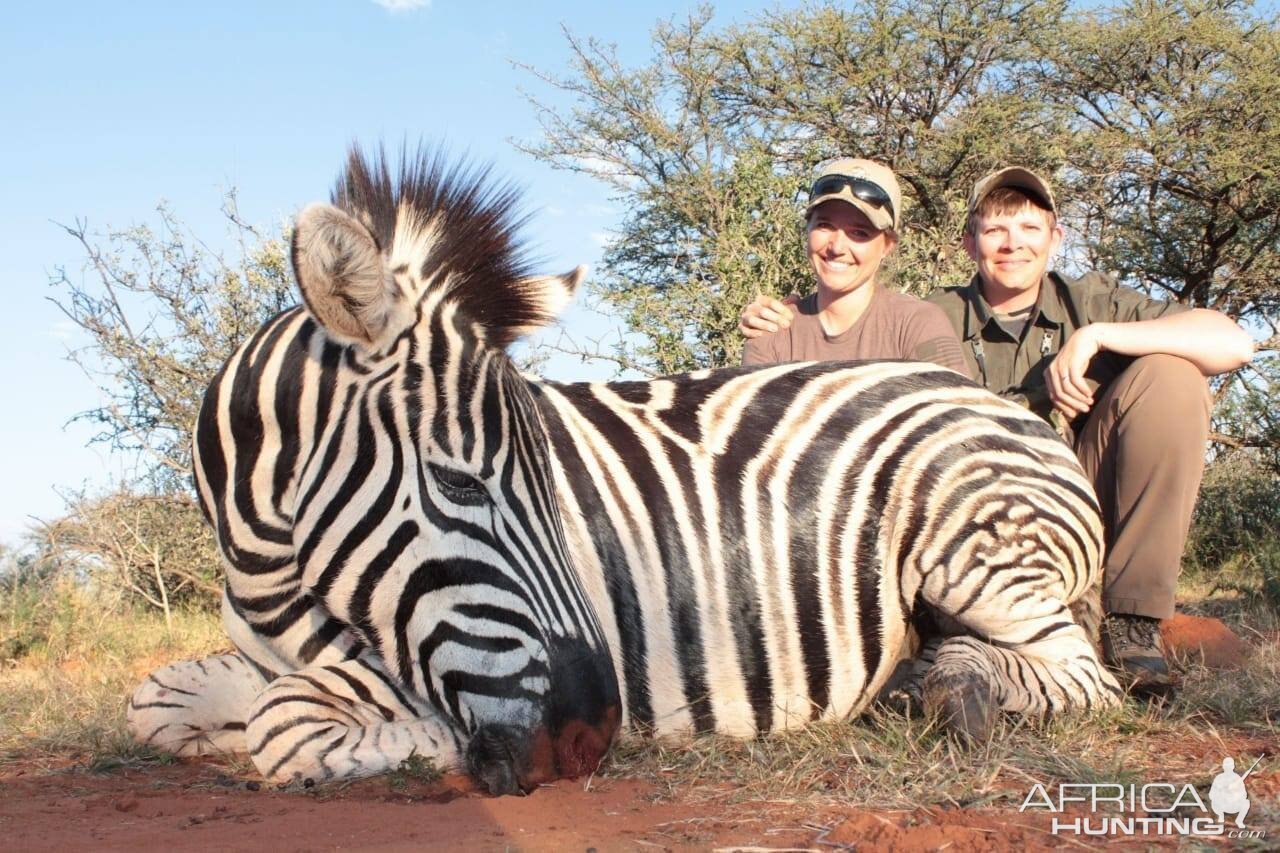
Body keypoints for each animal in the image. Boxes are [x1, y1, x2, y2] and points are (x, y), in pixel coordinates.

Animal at [129, 144, 1121, 788]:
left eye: (552, 479)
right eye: (458, 482)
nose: (592, 734)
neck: (271, 567)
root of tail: (1002, 402)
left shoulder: (405, 658)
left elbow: (286, 724)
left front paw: (430, 742)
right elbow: (158, 701)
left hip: (976, 549)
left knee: (1087, 678)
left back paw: (946, 688)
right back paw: (928, 677)